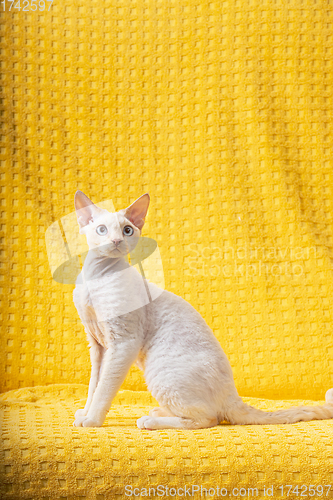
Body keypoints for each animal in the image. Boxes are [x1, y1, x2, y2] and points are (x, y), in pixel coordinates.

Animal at [72, 191, 332, 430]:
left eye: (127, 230)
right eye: (102, 230)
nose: (116, 241)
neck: (95, 277)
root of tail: (233, 395)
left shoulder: (123, 342)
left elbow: (105, 387)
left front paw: (93, 420)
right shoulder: (97, 344)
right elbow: (94, 384)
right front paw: (85, 412)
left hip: (161, 372)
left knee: (207, 419)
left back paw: (151, 420)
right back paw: (158, 412)